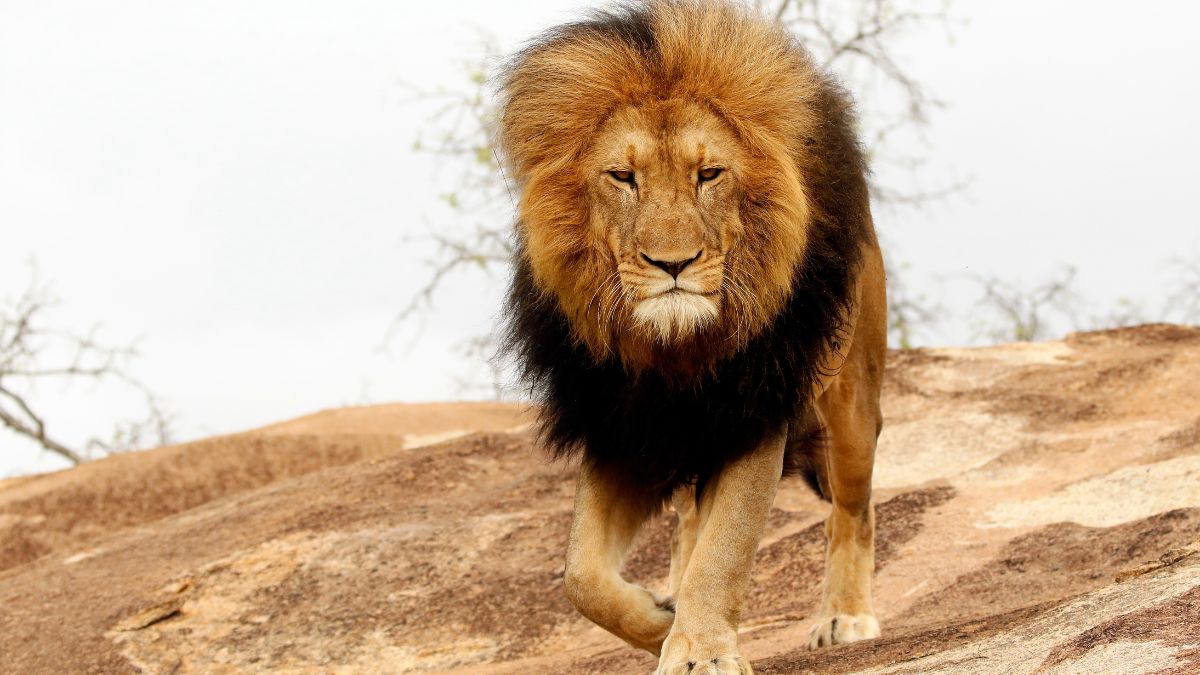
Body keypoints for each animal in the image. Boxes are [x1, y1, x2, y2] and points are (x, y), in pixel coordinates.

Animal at [497, 1, 887, 672]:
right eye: (622, 176)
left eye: (709, 174)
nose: (672, 263)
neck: (675, 350)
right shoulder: (621, 426)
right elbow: (581, 576)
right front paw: (663, 624)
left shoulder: (754, 412)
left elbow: (726, 546)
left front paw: (701, 648)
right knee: (685, 527)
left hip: (851, 403)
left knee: (851, 513)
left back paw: (844, 617)